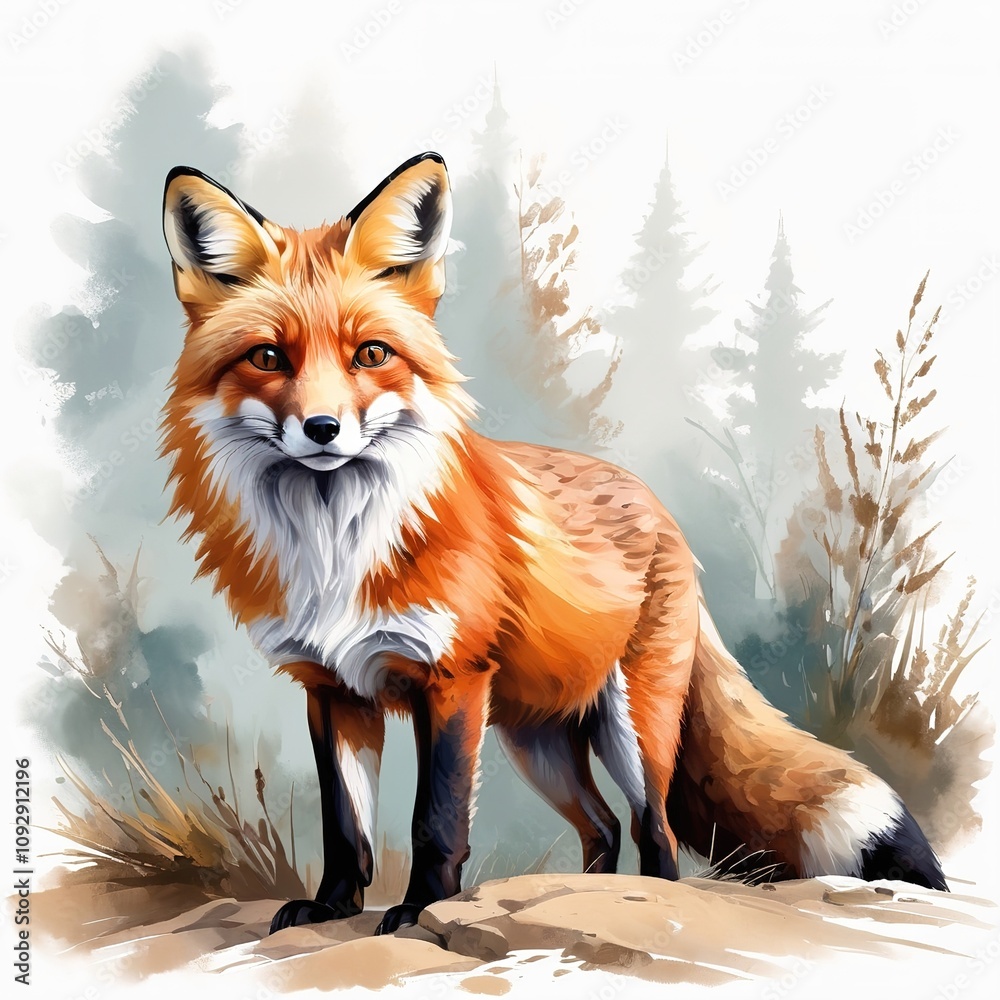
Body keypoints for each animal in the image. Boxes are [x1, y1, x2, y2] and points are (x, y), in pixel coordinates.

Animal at [160, 152, 947, 935]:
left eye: (371, 354)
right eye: (268, 357)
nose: (322, 429)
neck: (337, 547)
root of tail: (658, 505)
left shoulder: (451, 682)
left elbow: (435, 820)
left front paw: (419, 910)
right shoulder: (332, 689)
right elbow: (345, 824)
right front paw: (330, 908)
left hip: (631, 728)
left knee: (655, 832)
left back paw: (642, 901)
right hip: (535, 741)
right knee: (601, 826)